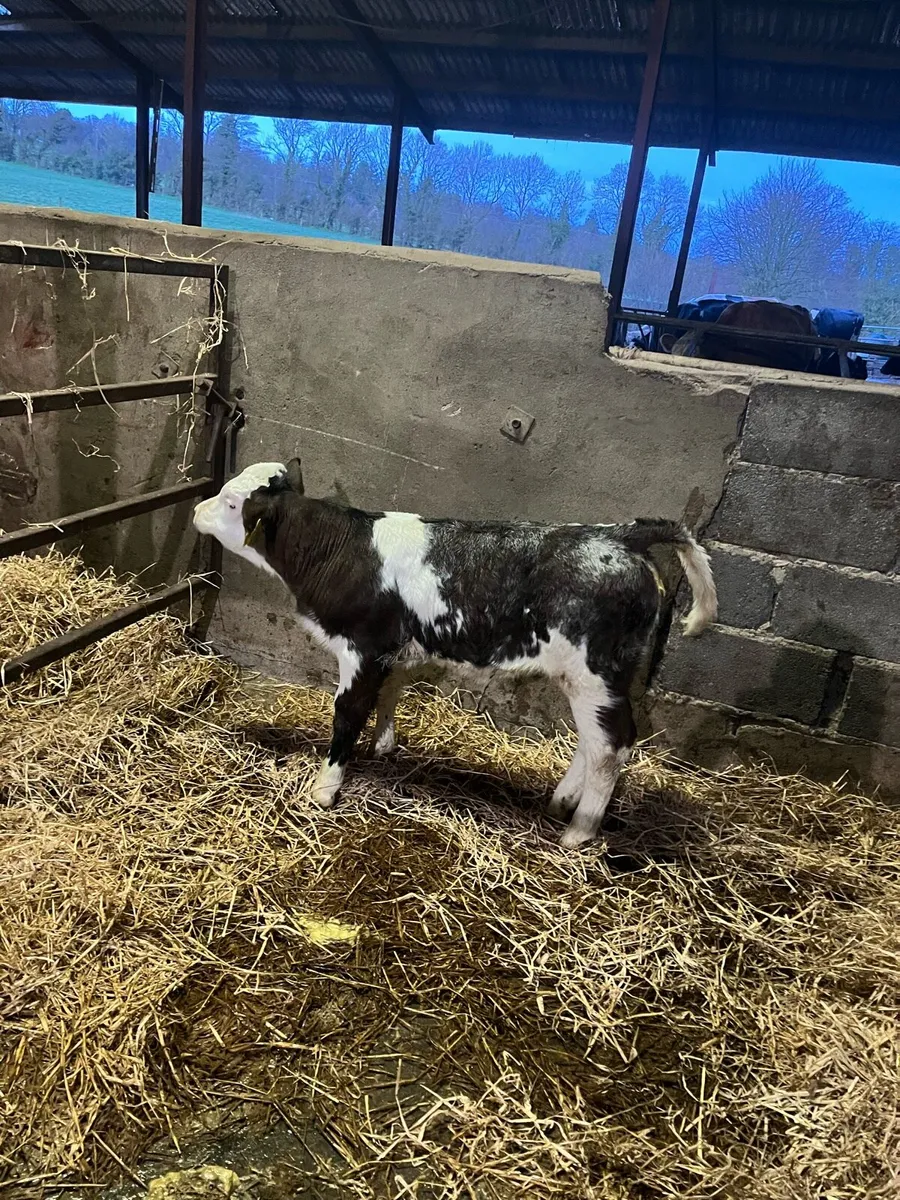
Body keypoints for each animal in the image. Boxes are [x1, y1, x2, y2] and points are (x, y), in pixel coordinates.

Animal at [193, 459, 717, 849]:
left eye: (232, 502)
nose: (197, 508)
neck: (338, 553)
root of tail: (617, 535)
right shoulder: (393, 652)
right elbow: (389, 695)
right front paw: (384, 747)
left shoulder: (361, 648)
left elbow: (348, 713)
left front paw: (323, 790)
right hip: (586, 678)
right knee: (594, 743)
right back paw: (561, 802)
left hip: (598, 674)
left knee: (611, 746)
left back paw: (578, 832)